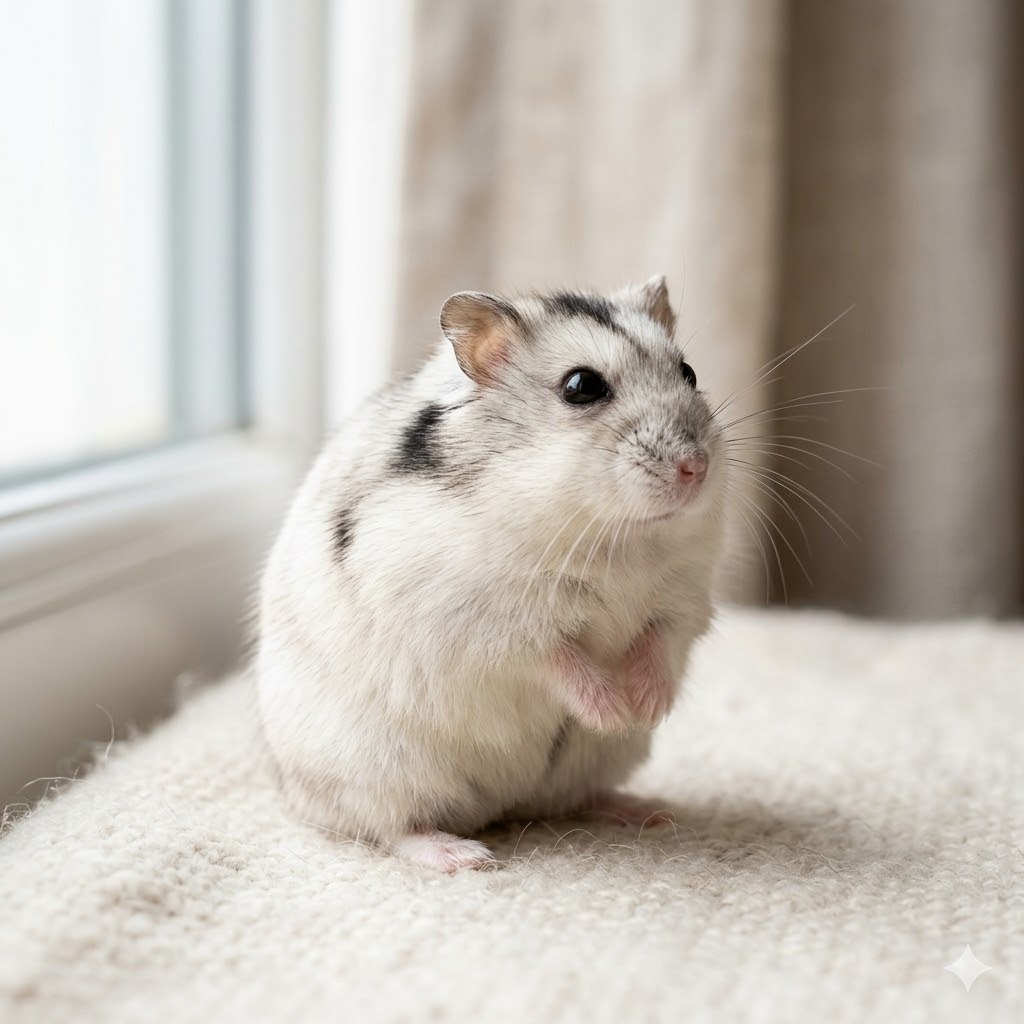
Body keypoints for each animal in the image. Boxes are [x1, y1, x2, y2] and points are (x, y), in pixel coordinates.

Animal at [257, 276, 726, 872]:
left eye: (689, 373)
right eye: (581, 386)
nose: (696, 468)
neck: (614, 535)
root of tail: (501, 808)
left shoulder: (683, 599)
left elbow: (658, 641)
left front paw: (647, 708)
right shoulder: (493, 623)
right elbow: (559, 660)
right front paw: (613, 710)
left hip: (589, 766)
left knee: (577, 800)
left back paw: (649, 810)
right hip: (376, 770)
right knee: (390, 827)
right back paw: (466, 857)